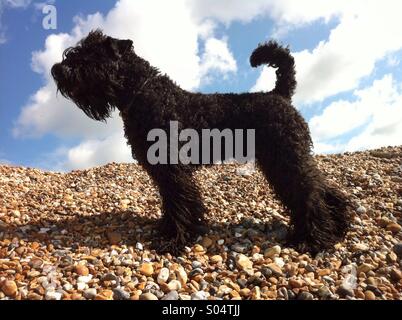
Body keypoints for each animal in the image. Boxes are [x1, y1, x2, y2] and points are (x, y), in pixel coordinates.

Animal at [51, 31, 350, 254]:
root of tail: (279, 95)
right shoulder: (165, 172)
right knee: (321, 189)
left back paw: (311, 239)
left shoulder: (173, 170)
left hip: (286, 159)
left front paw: (174, 239)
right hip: (287, 159)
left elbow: (180, 202)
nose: (57, 69)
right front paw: (168, 230)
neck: (146, 93)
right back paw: (338, 226)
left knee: (309, 194)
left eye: (90, 54)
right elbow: (172, 202)